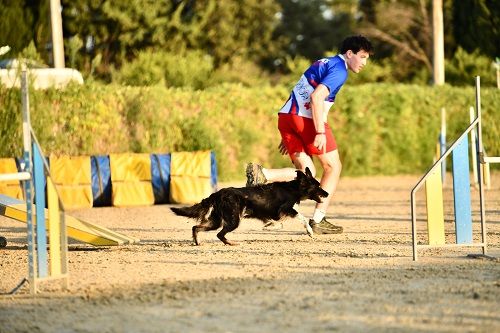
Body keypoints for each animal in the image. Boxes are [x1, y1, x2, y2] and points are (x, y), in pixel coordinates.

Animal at [170, 167, 330, 245]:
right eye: (317, 186)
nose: (327, 193)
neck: (293, 189)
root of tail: (218, 194)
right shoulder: (285, 209)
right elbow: (301, 217)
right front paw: (310, 231)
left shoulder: (279, 212)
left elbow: (278, 222)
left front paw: (271, 226)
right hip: (233, 221)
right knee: (220, 234)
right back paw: (231, 243)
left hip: (216, 222)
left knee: (196, 228)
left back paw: (197, 242)